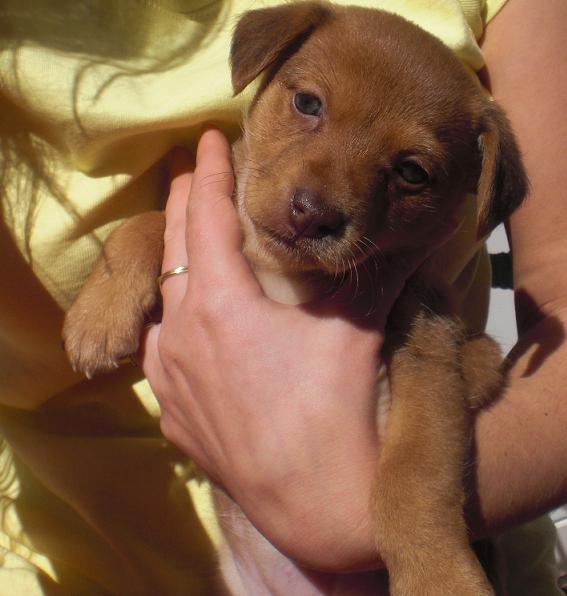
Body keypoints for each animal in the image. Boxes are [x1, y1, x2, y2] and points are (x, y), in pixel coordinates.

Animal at [62, 3, 528, 592]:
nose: (311, 215)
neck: (280, 270)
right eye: (308, 103)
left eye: (412, 172)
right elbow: (148, 223)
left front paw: (439, 576)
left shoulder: (428, 357)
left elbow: (412, 483)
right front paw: (97, 317)